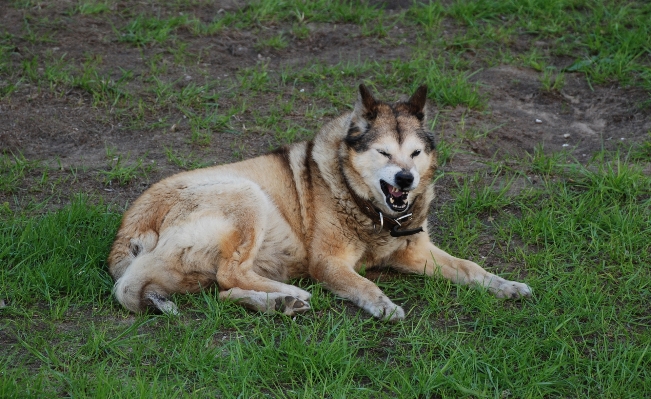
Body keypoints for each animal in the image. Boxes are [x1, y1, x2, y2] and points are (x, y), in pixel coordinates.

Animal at [107, 84, 532, 322]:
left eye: (415, 153)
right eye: (383, 152)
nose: (405, 179)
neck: (370, 211)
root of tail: (127, 234)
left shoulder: (416, 252)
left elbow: (472, 268)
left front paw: (507, 286)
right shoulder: (328, 261)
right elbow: (362, 284)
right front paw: (384, 306)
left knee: (225, 292)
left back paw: (278, 304)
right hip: (247, 196)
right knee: (231, 275)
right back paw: (292, 294)